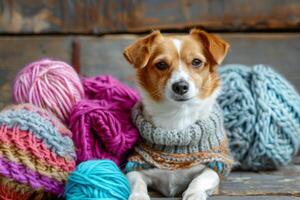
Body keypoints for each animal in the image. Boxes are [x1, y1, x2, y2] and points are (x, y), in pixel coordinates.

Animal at [123, 29, 231, 200]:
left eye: (196, 62)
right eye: (161, 64)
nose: (180, 86)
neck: (178, 115)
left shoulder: (216, 164)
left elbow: (203, 177)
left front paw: (194, 194)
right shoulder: (135, 166)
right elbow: (137, 182)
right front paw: (138, 196)